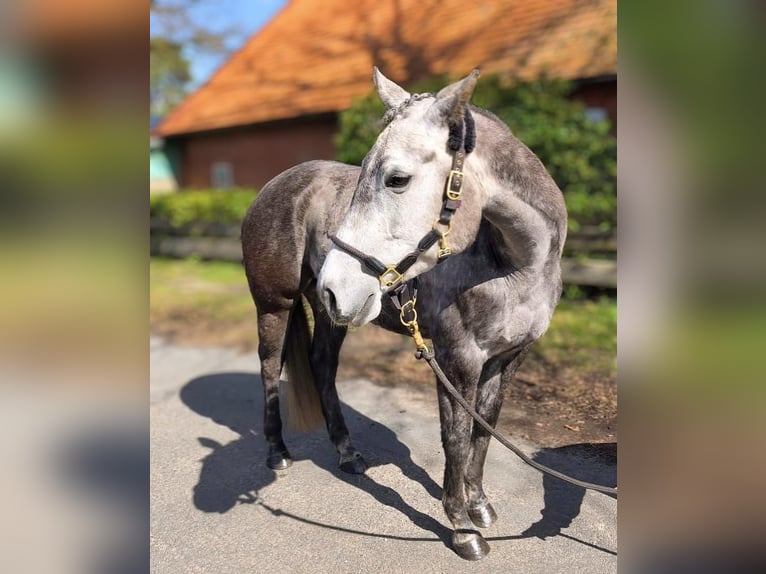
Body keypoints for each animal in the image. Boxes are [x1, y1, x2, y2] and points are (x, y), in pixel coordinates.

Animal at [242, 68, 567, 561]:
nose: (336, 283)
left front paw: (479, 505)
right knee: (268, 367)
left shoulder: (509, 357)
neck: (515, 265)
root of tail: (275, 186)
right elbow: (455, 437)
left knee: (322, 366)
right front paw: (462, 527)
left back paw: (348, 453)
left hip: (331, 313)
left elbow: (485, 429)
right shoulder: (456, 358)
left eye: (397, 179)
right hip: (276, 306)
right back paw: (277, 452)